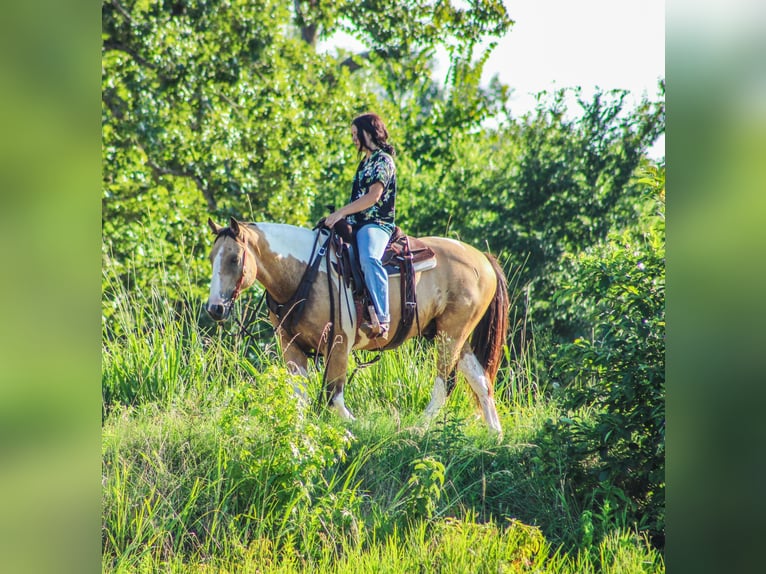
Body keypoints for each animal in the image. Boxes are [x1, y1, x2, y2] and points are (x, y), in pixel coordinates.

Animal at [207, 218, 512, 434]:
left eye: (234, 258)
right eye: (212, 259)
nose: (215, 308)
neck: (304, 273)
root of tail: (482, 259)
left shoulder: (339, 343)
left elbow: (334, 398)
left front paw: (356, 427)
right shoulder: (291, 346)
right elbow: (299, 399)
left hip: (451, 334)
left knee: (443, 383)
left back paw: (418, 428)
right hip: (452, 334)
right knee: (480, 380)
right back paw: (494, 435)